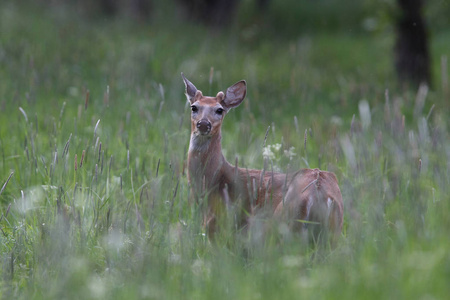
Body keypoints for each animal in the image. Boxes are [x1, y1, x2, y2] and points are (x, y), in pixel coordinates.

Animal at [183, 73, 344, 246]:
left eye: (219, 110)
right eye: (194, 107)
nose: (203, 124)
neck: (216, 179)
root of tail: (319, 194)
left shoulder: (218, 225)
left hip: (283, 225)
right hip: (333, 232)